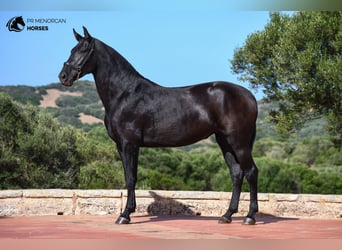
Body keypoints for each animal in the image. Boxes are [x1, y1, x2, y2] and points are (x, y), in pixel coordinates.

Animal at [58, 26, 260, 225]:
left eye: (84, 50)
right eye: (72, 50)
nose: (63, 77)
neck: (124, 94)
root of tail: (248, 95)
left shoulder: (130, 144)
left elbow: (131, 178)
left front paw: (125, 215)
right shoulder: (120, 145)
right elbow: (127, 177)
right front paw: (127, 212)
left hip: (238, 142)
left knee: (251, 171)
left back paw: (250, 217)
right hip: (224, 141)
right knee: (236, 173)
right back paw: (227, 215)